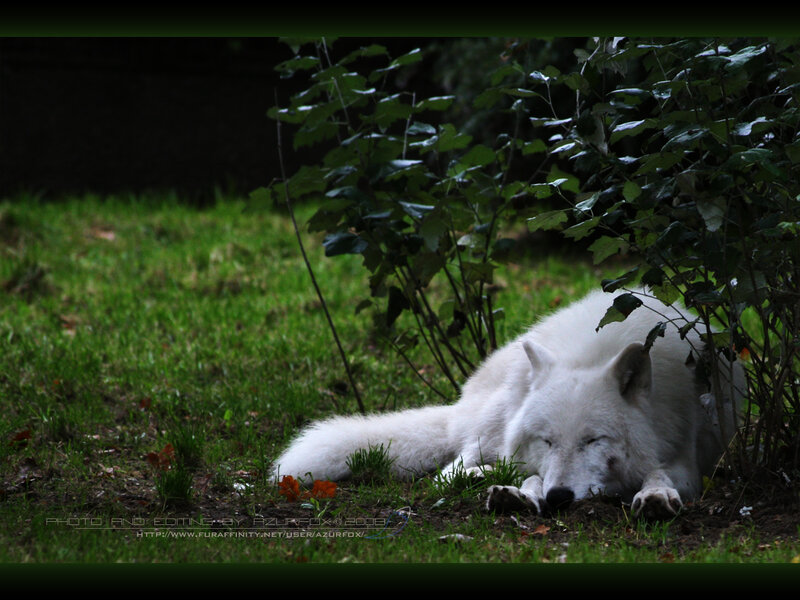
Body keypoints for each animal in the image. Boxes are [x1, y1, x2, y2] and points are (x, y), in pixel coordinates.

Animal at [272, 288, 745, 518]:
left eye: (594, 441)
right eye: (548, 441)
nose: (559, 497)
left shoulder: (685, 457)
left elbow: (659, 475)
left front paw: (656, 496)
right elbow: (530, 475)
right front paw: (519, 494)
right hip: (493, 423)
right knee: (451, 471)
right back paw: (490, 479)